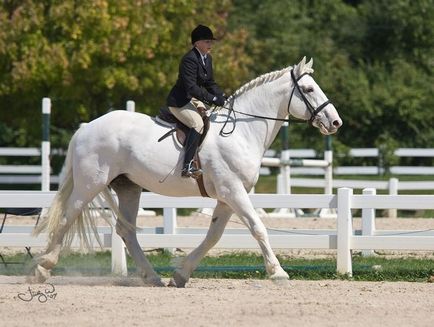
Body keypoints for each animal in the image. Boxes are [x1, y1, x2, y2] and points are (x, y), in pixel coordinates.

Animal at [30, 57, 342, 288]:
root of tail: (87, 127)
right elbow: (258, 227)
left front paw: (181, 275)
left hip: (128, 187)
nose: (335, 122)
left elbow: (214, 235)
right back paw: (42, 269)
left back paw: (153, 277)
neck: (241, 132)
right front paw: (278, 272)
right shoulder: (233, 191)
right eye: (309, 90)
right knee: (67, 218)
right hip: (90, 183)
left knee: (126, 230)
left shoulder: (227, 196)